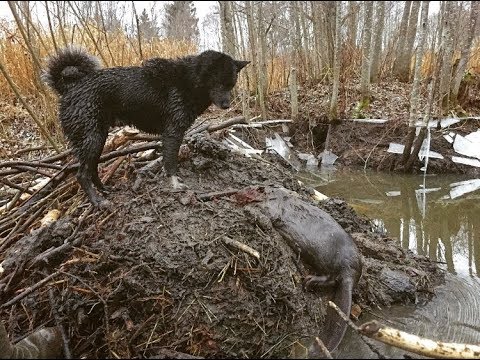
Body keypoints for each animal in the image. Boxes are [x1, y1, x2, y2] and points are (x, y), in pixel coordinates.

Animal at [42, 47, 249, 208]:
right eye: (217, 83)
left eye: (231, 84)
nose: (227, 105)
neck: (189, 81)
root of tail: (70, 89)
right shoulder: (172, 132)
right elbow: (170, 163)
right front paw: (175, 185)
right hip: (92, 139)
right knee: (82, 174)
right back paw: (98, 202)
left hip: (97, 139)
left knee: (92, 169)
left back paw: (105, 190)